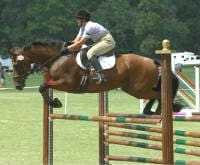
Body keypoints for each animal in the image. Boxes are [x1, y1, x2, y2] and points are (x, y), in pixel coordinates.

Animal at [9, 39, 181, 114]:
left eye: (17, 64)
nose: (18, 85)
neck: (58, 57)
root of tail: (152, 61)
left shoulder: (68, 84)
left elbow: (42, 86)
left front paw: (55, 102)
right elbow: (44, 88)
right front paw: (53, 102)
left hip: (139, 88)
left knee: (160, 94)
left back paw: (159, 111)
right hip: (133, 88)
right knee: (155, 95)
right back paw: (150, 110)